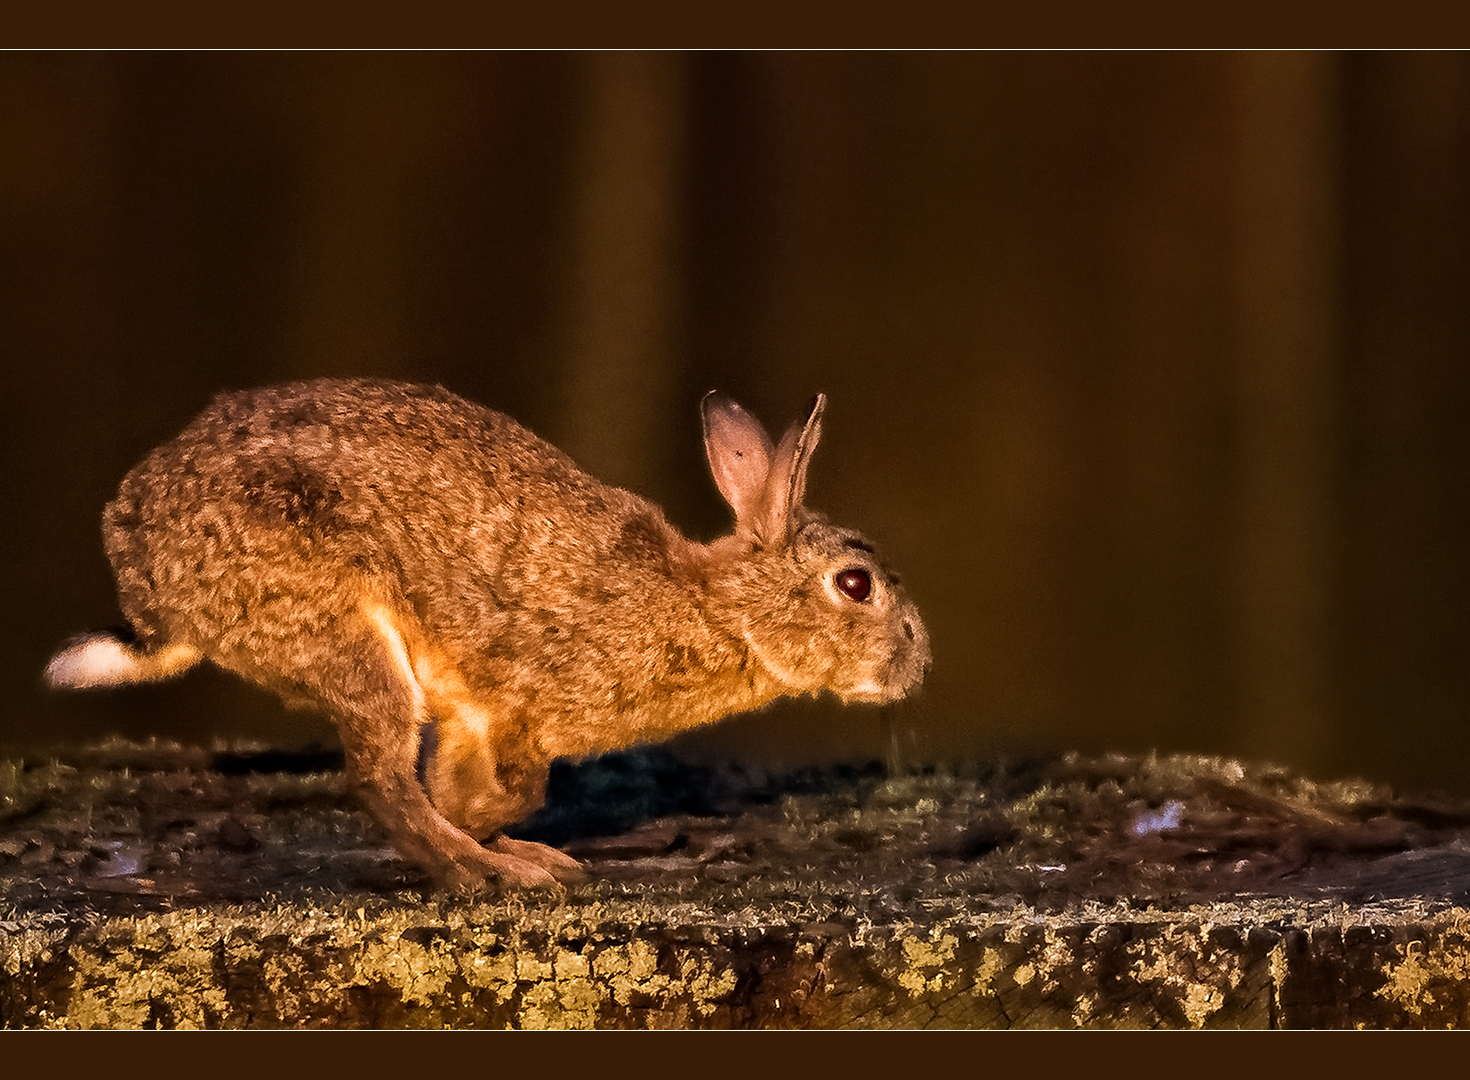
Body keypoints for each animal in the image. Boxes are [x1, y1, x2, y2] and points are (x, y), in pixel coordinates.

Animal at [42, 379, 929, 887]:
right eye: (856, 584)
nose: (915, 659)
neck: (717, 606)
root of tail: (149, 578)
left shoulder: (472, 713)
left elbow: (468, 783)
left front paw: (515, 840)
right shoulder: (521, 706)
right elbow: (514, 789)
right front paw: (496, 841)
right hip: (348, 634)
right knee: (378, 779)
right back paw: (485, 875)